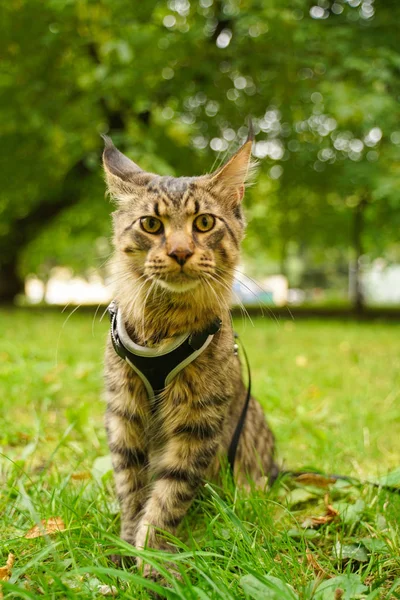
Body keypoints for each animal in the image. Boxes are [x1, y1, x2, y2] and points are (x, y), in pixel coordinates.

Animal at [102, 134, 278, 576]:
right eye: (151, 225)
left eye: (204, 223)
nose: (180, 252)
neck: (164, 325)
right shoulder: (124, 414)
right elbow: (132, 491)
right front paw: (127, 548)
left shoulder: (198, 425)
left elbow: (167, 499)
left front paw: (152, 563)